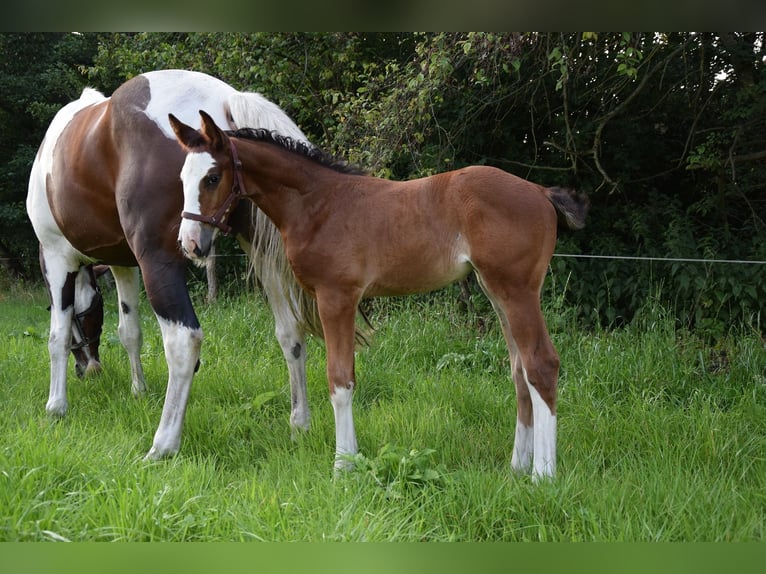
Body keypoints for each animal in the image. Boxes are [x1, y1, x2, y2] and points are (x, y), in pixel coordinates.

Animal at [26, 69, 325, 460]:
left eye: (88, 316)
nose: (90, 370)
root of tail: (225, 99)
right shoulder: (124, 265)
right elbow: (129, 331)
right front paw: (138, 390)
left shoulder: (58, 258)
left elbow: (57, 336)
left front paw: (56, 407)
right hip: (260, 254)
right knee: (290, 331)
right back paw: (299, 425)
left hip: (161, 262)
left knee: (184, 342)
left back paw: (163, 445)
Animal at [169, 111, 590, 479]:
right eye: (183, 177)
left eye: (212, 177)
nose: (189, 244)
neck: (318, 204)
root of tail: (540, 191)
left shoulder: (337, 297)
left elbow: (340, 380)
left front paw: (343, 466)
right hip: (495, 291)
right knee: (519, 370)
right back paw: (517, 467)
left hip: (517, 290)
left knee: (541, 365)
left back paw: (542, 476)